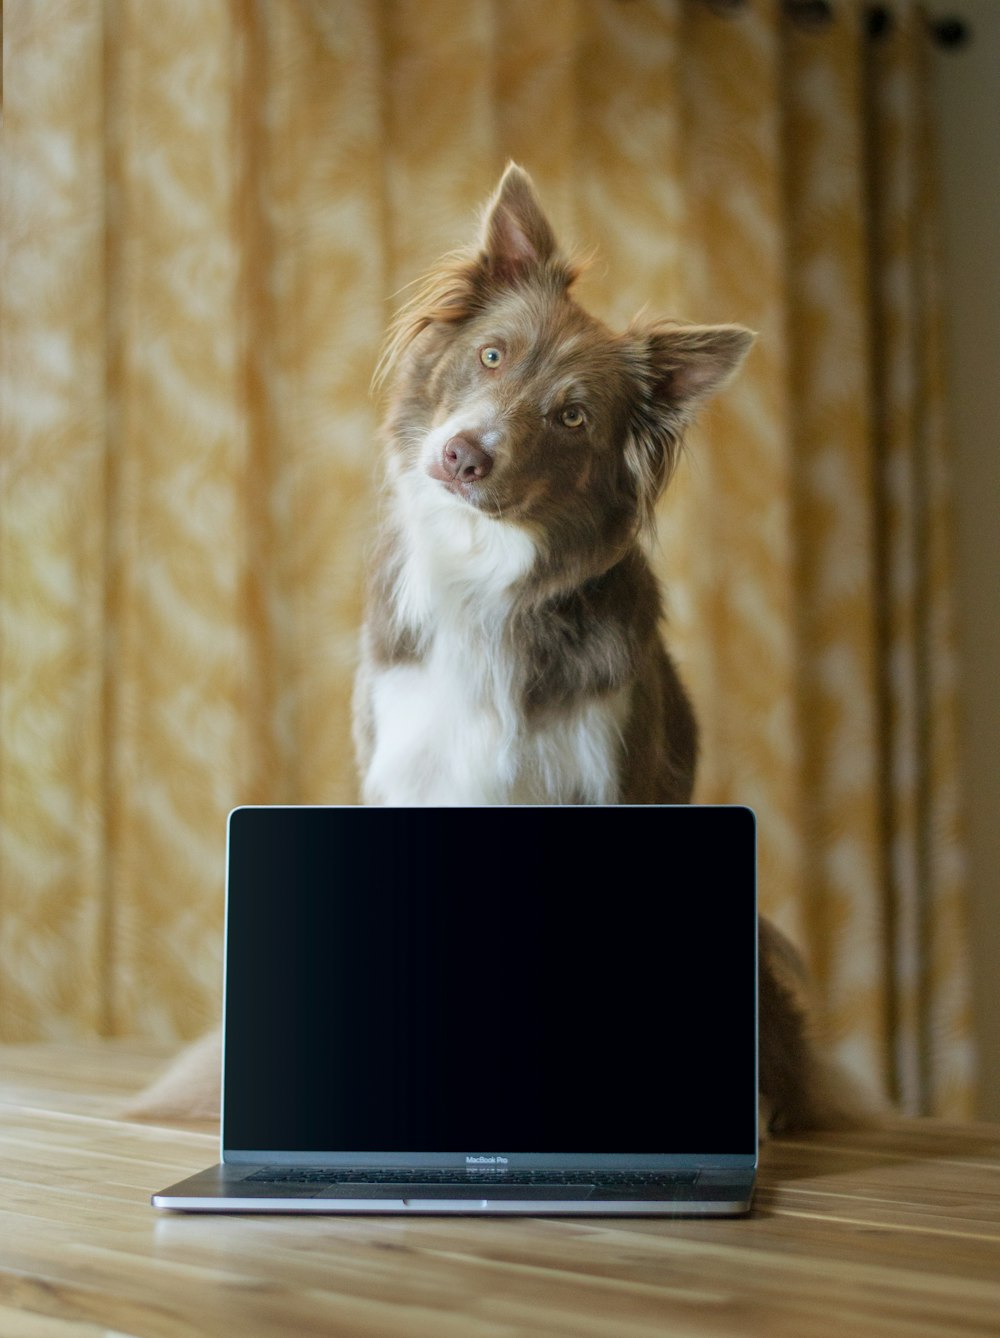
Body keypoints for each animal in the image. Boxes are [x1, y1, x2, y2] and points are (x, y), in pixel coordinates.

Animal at [127, 164, 878, 1129]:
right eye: (492, 356)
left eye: (573, 417)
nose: (462, 456)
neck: (489, 580)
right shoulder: (406, 768)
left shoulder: (605, 780)